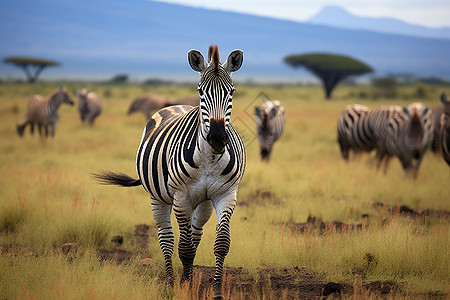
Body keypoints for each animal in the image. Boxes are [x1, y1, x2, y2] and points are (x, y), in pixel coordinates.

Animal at [93, 45, 244, 296]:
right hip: (158, 197)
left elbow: (221, 244)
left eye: (231, 92)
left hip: (203, 202)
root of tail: (174, 105)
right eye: (200, 92)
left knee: (195, 234)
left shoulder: (227, 194)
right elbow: (184, 248)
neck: (209, 157)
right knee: (167, 237)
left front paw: (216, 290)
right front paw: (184, 286)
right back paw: (170, 281)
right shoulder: (181, 198)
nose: (217, 138)